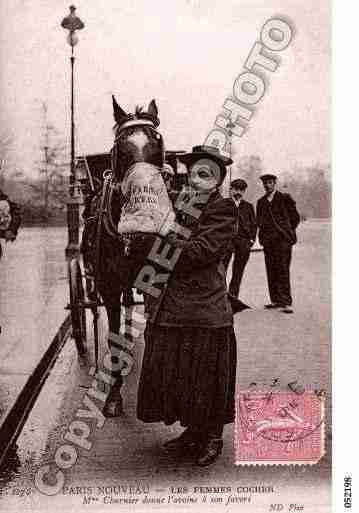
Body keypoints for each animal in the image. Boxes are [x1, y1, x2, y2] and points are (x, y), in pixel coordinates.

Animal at [82, 96, 172, 416]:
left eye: (158, 143)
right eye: (121, 148)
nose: (145, 222)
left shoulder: (154, 283)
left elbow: (151, 330)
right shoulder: (108, 287)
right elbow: (113, 338)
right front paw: (113, 396)